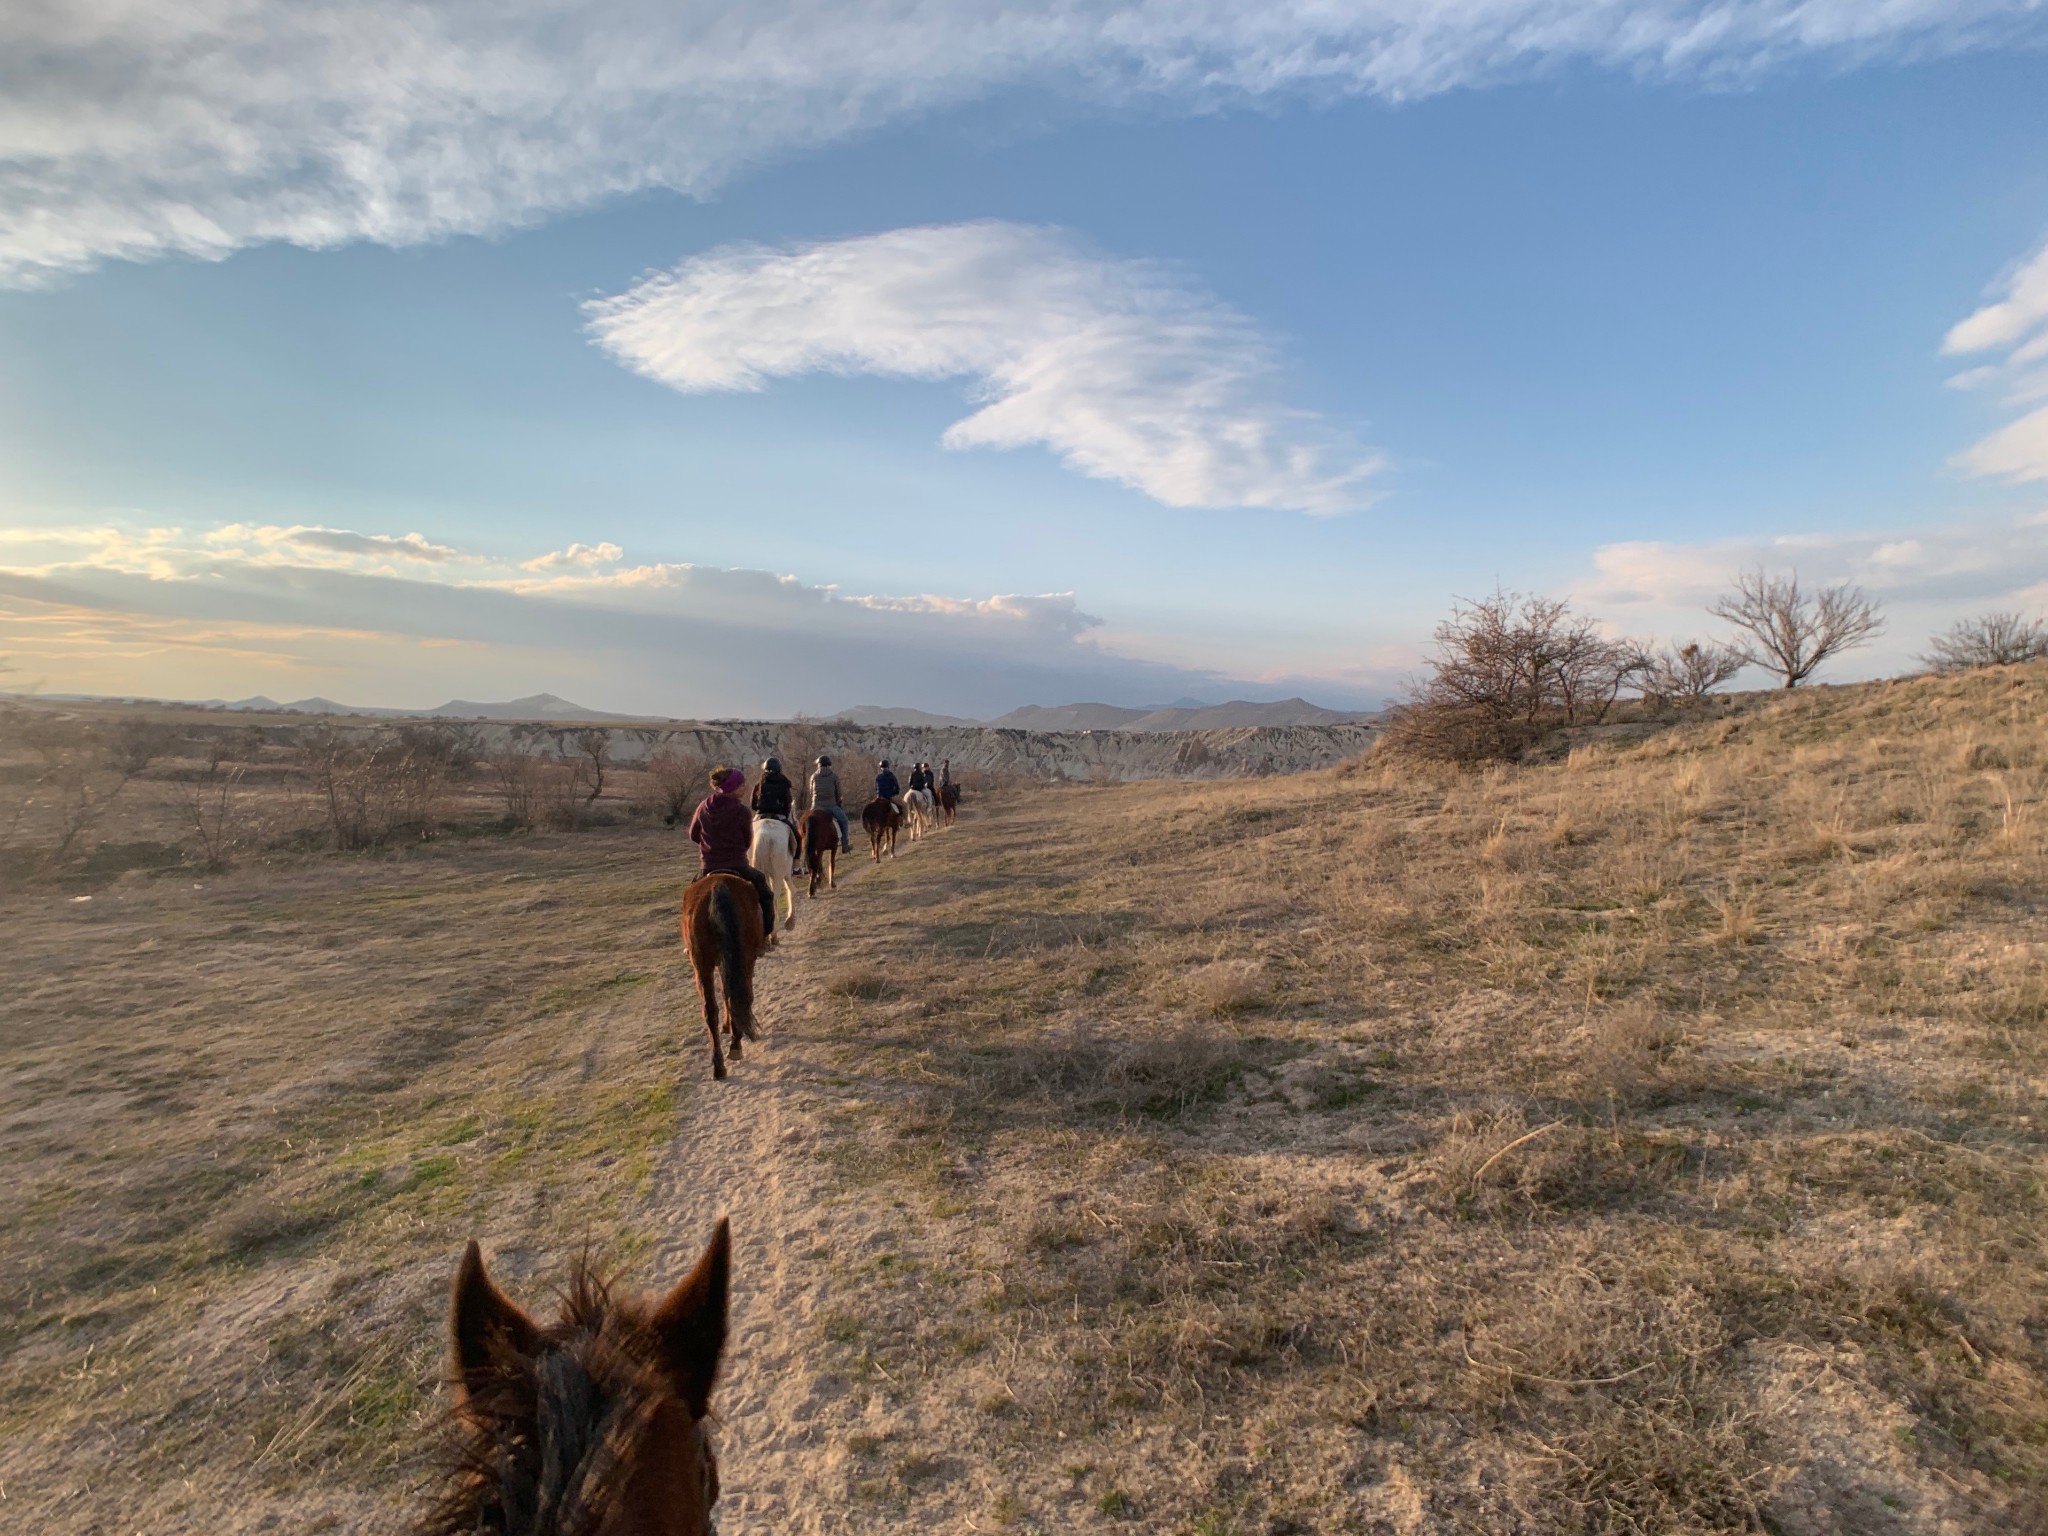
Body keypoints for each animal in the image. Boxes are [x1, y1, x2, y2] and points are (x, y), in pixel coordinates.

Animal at [679, 876, 761, 1081]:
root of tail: (718, 885)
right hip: (743, 958)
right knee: (738, 998)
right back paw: (735, 1046)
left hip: (702, 965)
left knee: (710, 1010)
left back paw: (719, 1065)